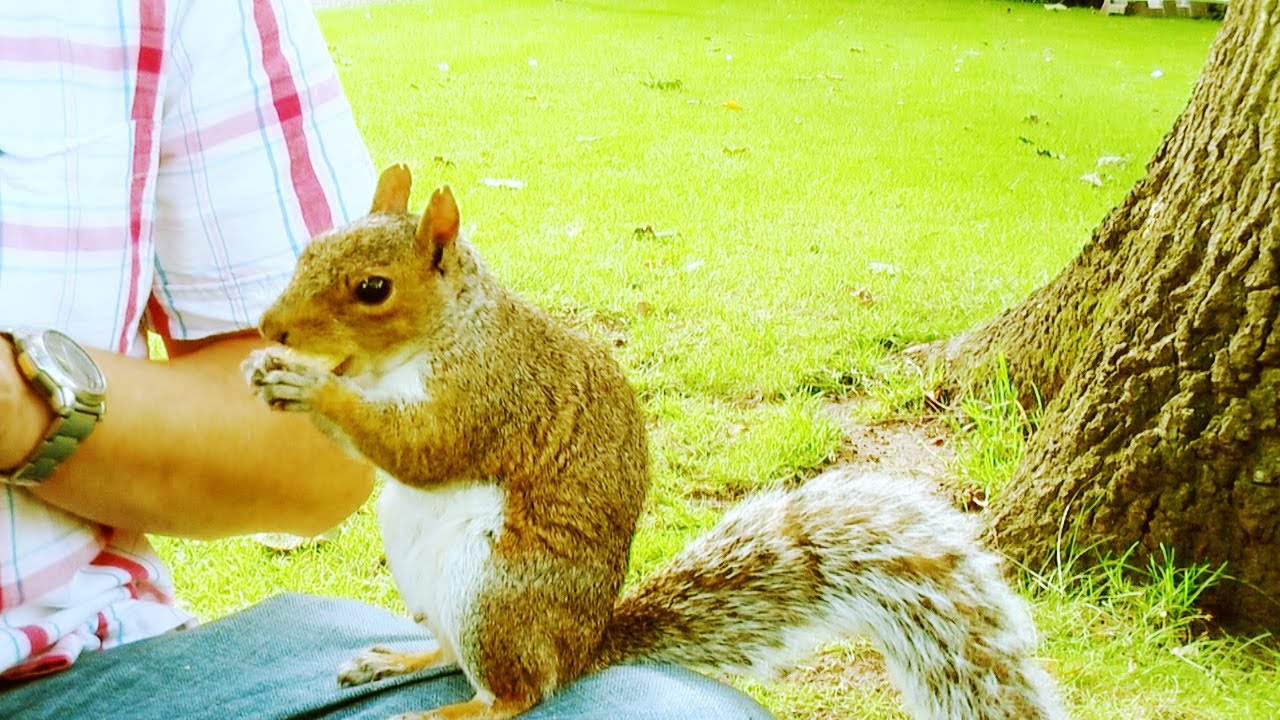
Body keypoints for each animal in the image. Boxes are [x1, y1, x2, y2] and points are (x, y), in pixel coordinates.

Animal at [242, 164, 1066, 720]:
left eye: (372, 289)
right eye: (308, 249)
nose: (268, 328)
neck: (446, 332)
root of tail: (583, 647)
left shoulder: (491, 395)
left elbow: (422, 448)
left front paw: (308, 386)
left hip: (495, 592)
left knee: (515, 694)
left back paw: (442, 712)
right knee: (451, 651)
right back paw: (395, 658)